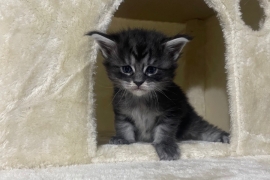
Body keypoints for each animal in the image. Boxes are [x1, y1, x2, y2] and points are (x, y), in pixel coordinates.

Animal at [87, 28, 230, 160]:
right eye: (127, 69)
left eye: (151, 70)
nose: (138, 82)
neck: (141, 101)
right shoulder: (121, 112)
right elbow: (123, 126)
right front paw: (124, 139)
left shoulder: (172, 111)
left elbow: (164, 129)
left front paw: (165, 145)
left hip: (191, 121)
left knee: (206, 129)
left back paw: (224, 137)